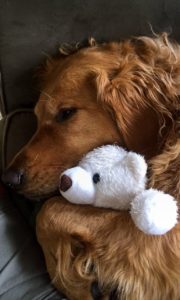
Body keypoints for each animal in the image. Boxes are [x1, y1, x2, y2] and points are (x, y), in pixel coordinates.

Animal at [2, 34, 180, 300]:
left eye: (66, 113)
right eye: (36, 118)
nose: (8, 179)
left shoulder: (162, 233)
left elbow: (49, 211)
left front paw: (76, 282)